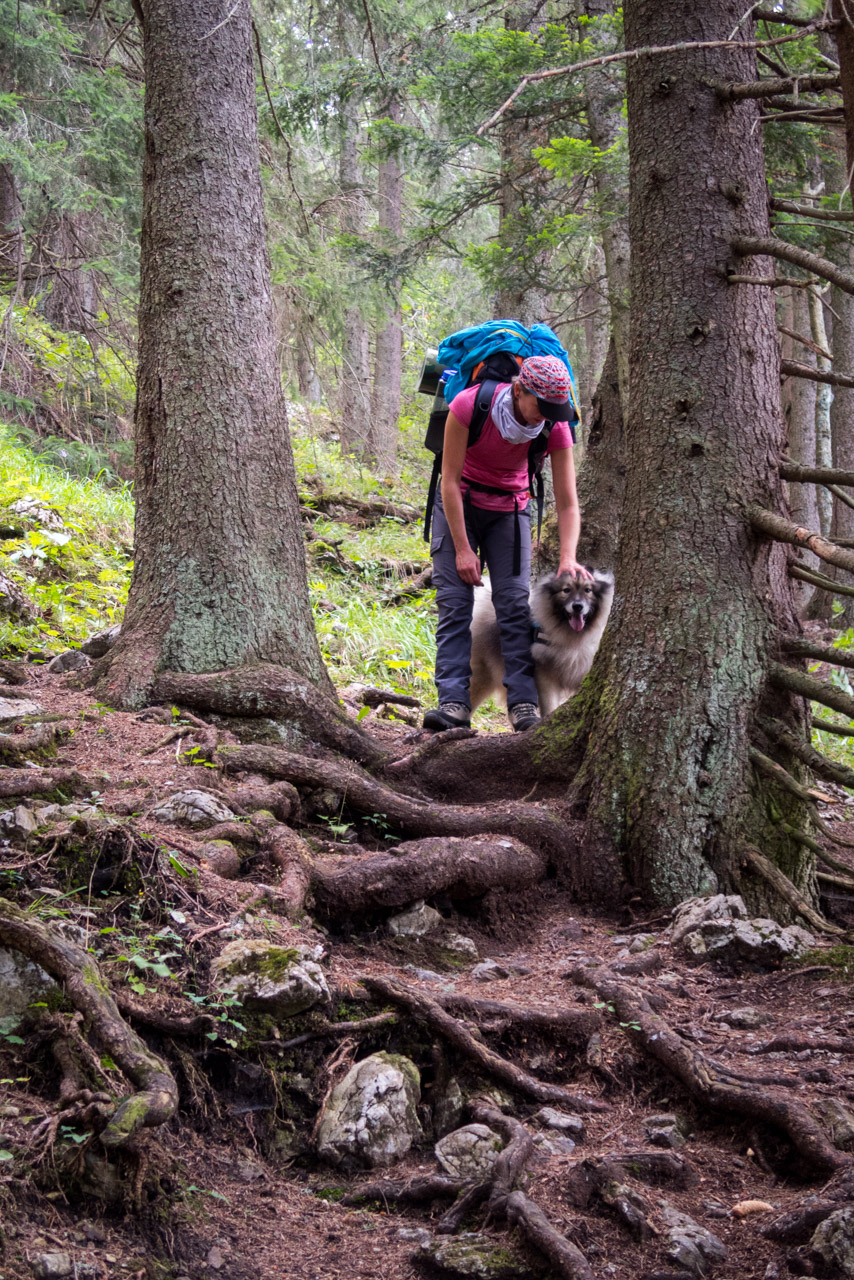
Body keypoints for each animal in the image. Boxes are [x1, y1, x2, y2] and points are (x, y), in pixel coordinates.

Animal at [468, 573, 614, 716]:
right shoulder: (546, 678)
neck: (572, 639)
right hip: (483, 675)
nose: (577, 606)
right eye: (566, 590)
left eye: (588, 590)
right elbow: (549, 705)